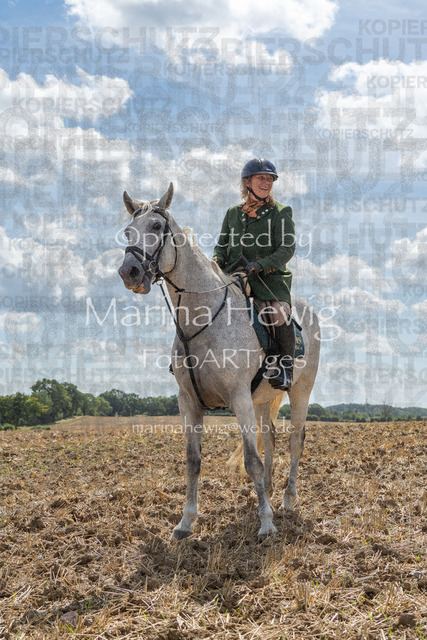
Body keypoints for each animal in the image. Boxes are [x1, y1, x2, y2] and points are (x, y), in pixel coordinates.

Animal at [118, 184, 320, 539]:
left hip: (301, 391)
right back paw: (268, 492)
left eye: (156, 226)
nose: (129, 272)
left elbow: (251, 461)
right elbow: (193, 461)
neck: (200, 321)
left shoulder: (238, 398)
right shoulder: (188, 401)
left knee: (295, 440)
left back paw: (286, 501)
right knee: (270, 438)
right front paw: (186, 522)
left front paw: (266, 524)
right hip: (261, 399)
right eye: (128, 231)